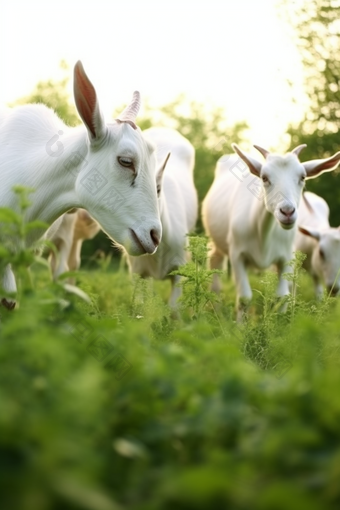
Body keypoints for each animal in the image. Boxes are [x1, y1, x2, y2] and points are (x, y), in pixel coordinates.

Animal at [202, 144, 340, 318]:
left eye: (302, 177)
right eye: (264, 178)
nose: (287, 211)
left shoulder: (286, 257)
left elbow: (282, 296)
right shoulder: (237, 254)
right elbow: (244, 298)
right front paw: (240, 324)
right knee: (215, 263)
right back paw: (217, 310)